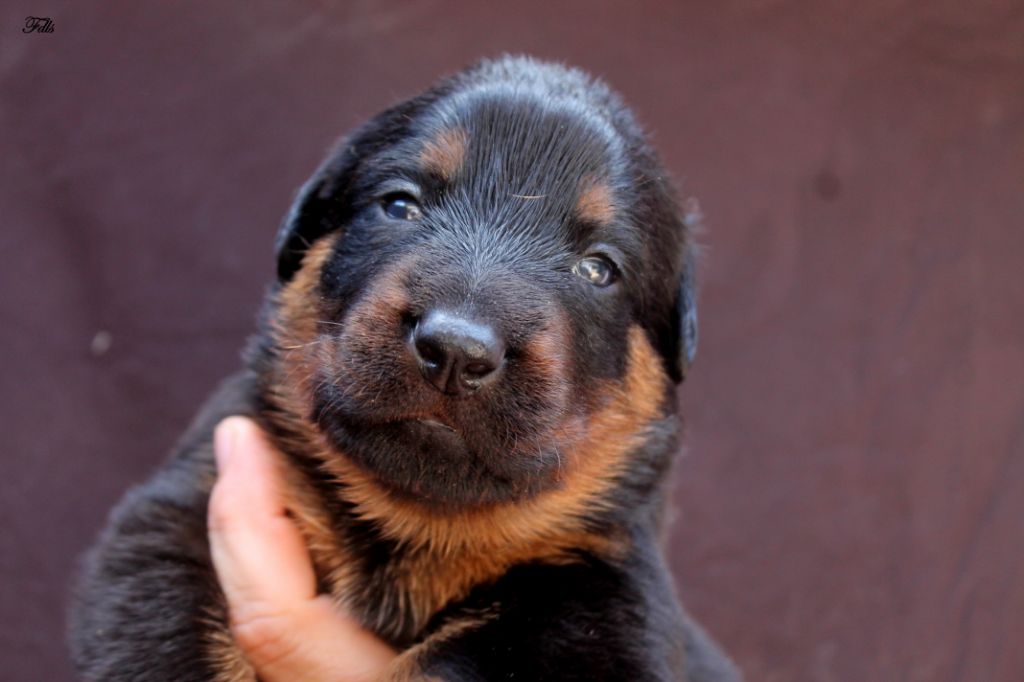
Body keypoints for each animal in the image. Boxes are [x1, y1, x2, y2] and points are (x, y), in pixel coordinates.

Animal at [74, 57, 745, 679]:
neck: (414, 536)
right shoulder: (182, 511)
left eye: (599, 268)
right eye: (399, 205)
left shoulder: (595, 592)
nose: (455, 350)